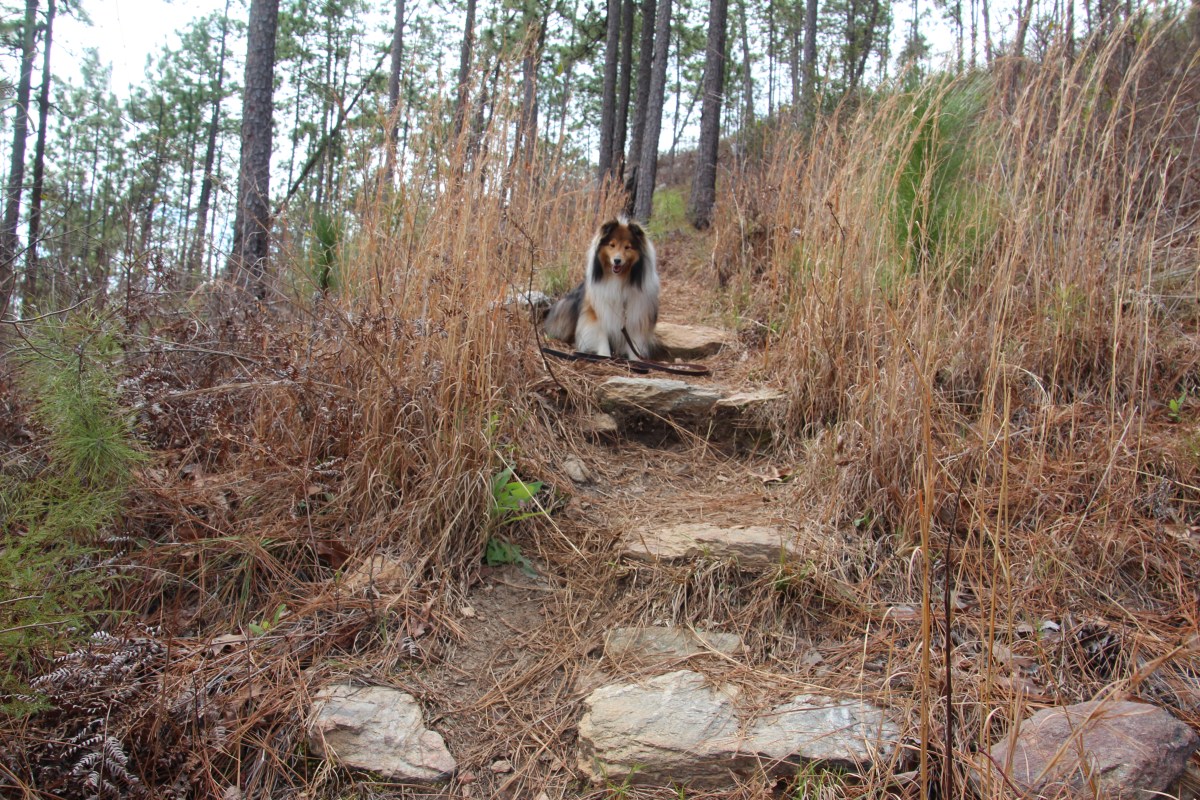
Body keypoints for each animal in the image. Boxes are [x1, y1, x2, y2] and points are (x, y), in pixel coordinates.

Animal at [543, 217, 659, 360]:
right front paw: (604, 356)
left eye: (627, 247)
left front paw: (636, 359)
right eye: (612, 245)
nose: (617, 260)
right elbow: (601, 336)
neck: (618, 279)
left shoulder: (636, 313)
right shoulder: (596, 311)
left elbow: (634, 341)